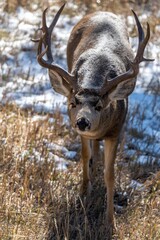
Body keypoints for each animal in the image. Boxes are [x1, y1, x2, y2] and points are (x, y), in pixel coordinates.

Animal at [32, 3, 152, 236]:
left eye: (99, 106)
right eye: (72, 103)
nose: (82, 121)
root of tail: (101, 11)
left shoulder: (116, 130)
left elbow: (110, 175)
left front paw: (110, 222)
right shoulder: (81, 133)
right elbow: (84, 157)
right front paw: (83, 194)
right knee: (91, 152)